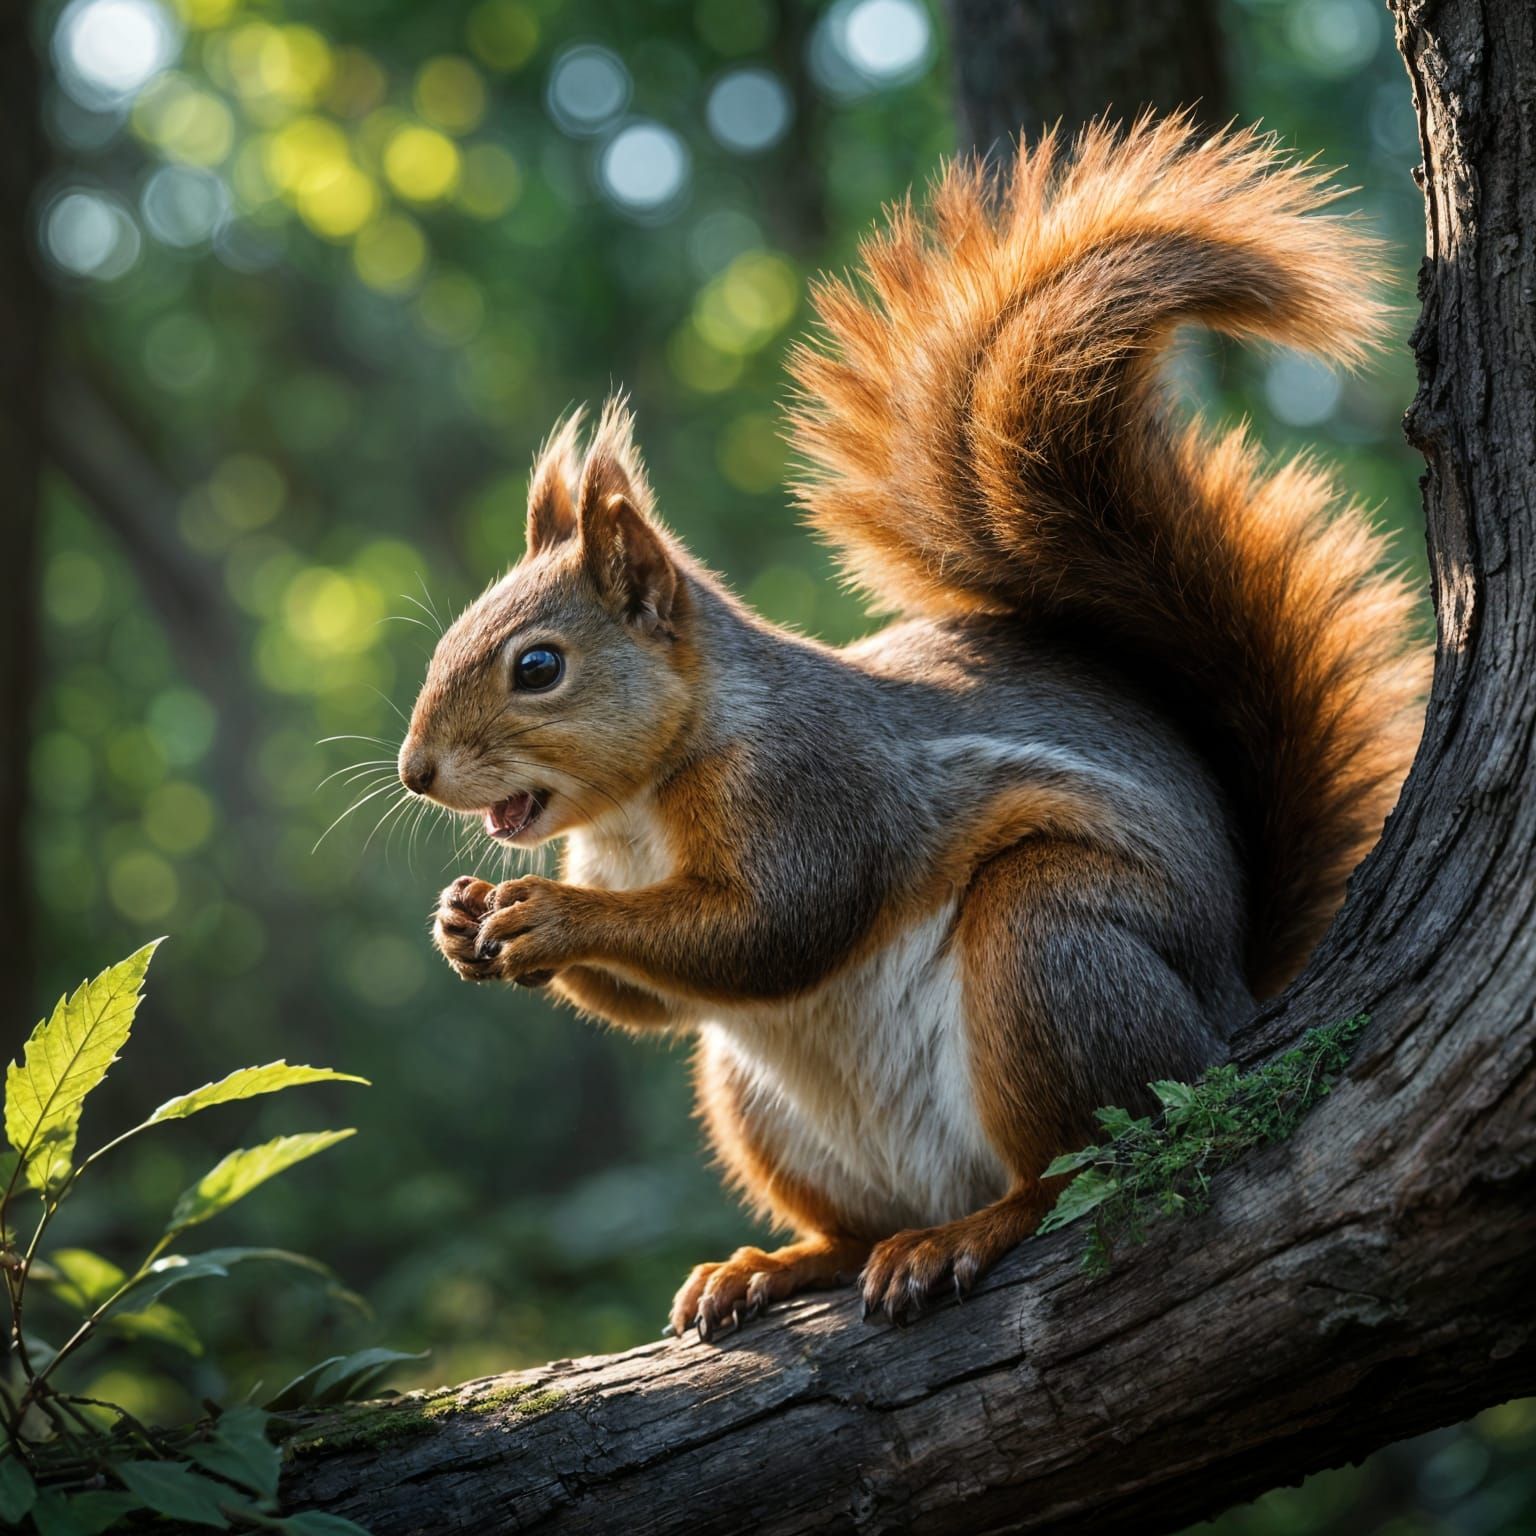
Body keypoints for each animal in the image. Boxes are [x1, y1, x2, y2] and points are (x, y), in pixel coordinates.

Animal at [398, 117, 1427, 1339]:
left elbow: (776, 928)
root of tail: (1230, 1009)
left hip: (1050, 950)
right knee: (856, 1228)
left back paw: (968, 1234)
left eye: (539, 667)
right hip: (755, 1104)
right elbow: (654, 1000)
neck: (647, 800)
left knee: (1079, 1166)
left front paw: (550, 918)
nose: (414, 772)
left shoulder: (817, 789)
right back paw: (776, 1264)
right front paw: (461, 920)